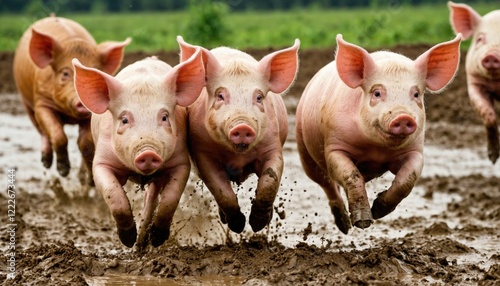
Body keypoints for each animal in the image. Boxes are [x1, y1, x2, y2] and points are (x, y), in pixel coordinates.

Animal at [13, 15, 131, 185]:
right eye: (65, 73)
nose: (82, 102)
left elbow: (85, 142)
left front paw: (90, 182)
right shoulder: (42, 102)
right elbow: (57, 135)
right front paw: (63, 172)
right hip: (26, 102)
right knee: (42, 131)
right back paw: (46, 162)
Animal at [71, 49, 204, 248]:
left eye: (164, 117)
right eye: (125, 119)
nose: (147, 152)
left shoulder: (181, 162)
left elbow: (170, 199)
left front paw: (157, 240)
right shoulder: (101, 161)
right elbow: (113, 194)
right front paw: (127, 240)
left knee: (151, 200)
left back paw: (143, 243)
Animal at [178, 35, 298, 232]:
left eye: (259, 97)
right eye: (220, 95)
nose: (242, 126)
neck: (237, 158)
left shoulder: (273, 146)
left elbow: (269, 181)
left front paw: (257, 224)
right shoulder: (203, 154)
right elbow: (221, 190)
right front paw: (238, 226)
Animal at [294, 34, 462, 235]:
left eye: (416, 94)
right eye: (376, 93)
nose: (403, 116)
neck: (376, 150)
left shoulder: (415, 150)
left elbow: (408, 179)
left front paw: (378, 211)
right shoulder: (334, 147)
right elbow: (352, 175)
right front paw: (363, 222)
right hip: (304, 151)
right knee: (327, 184)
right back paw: (345, 227)